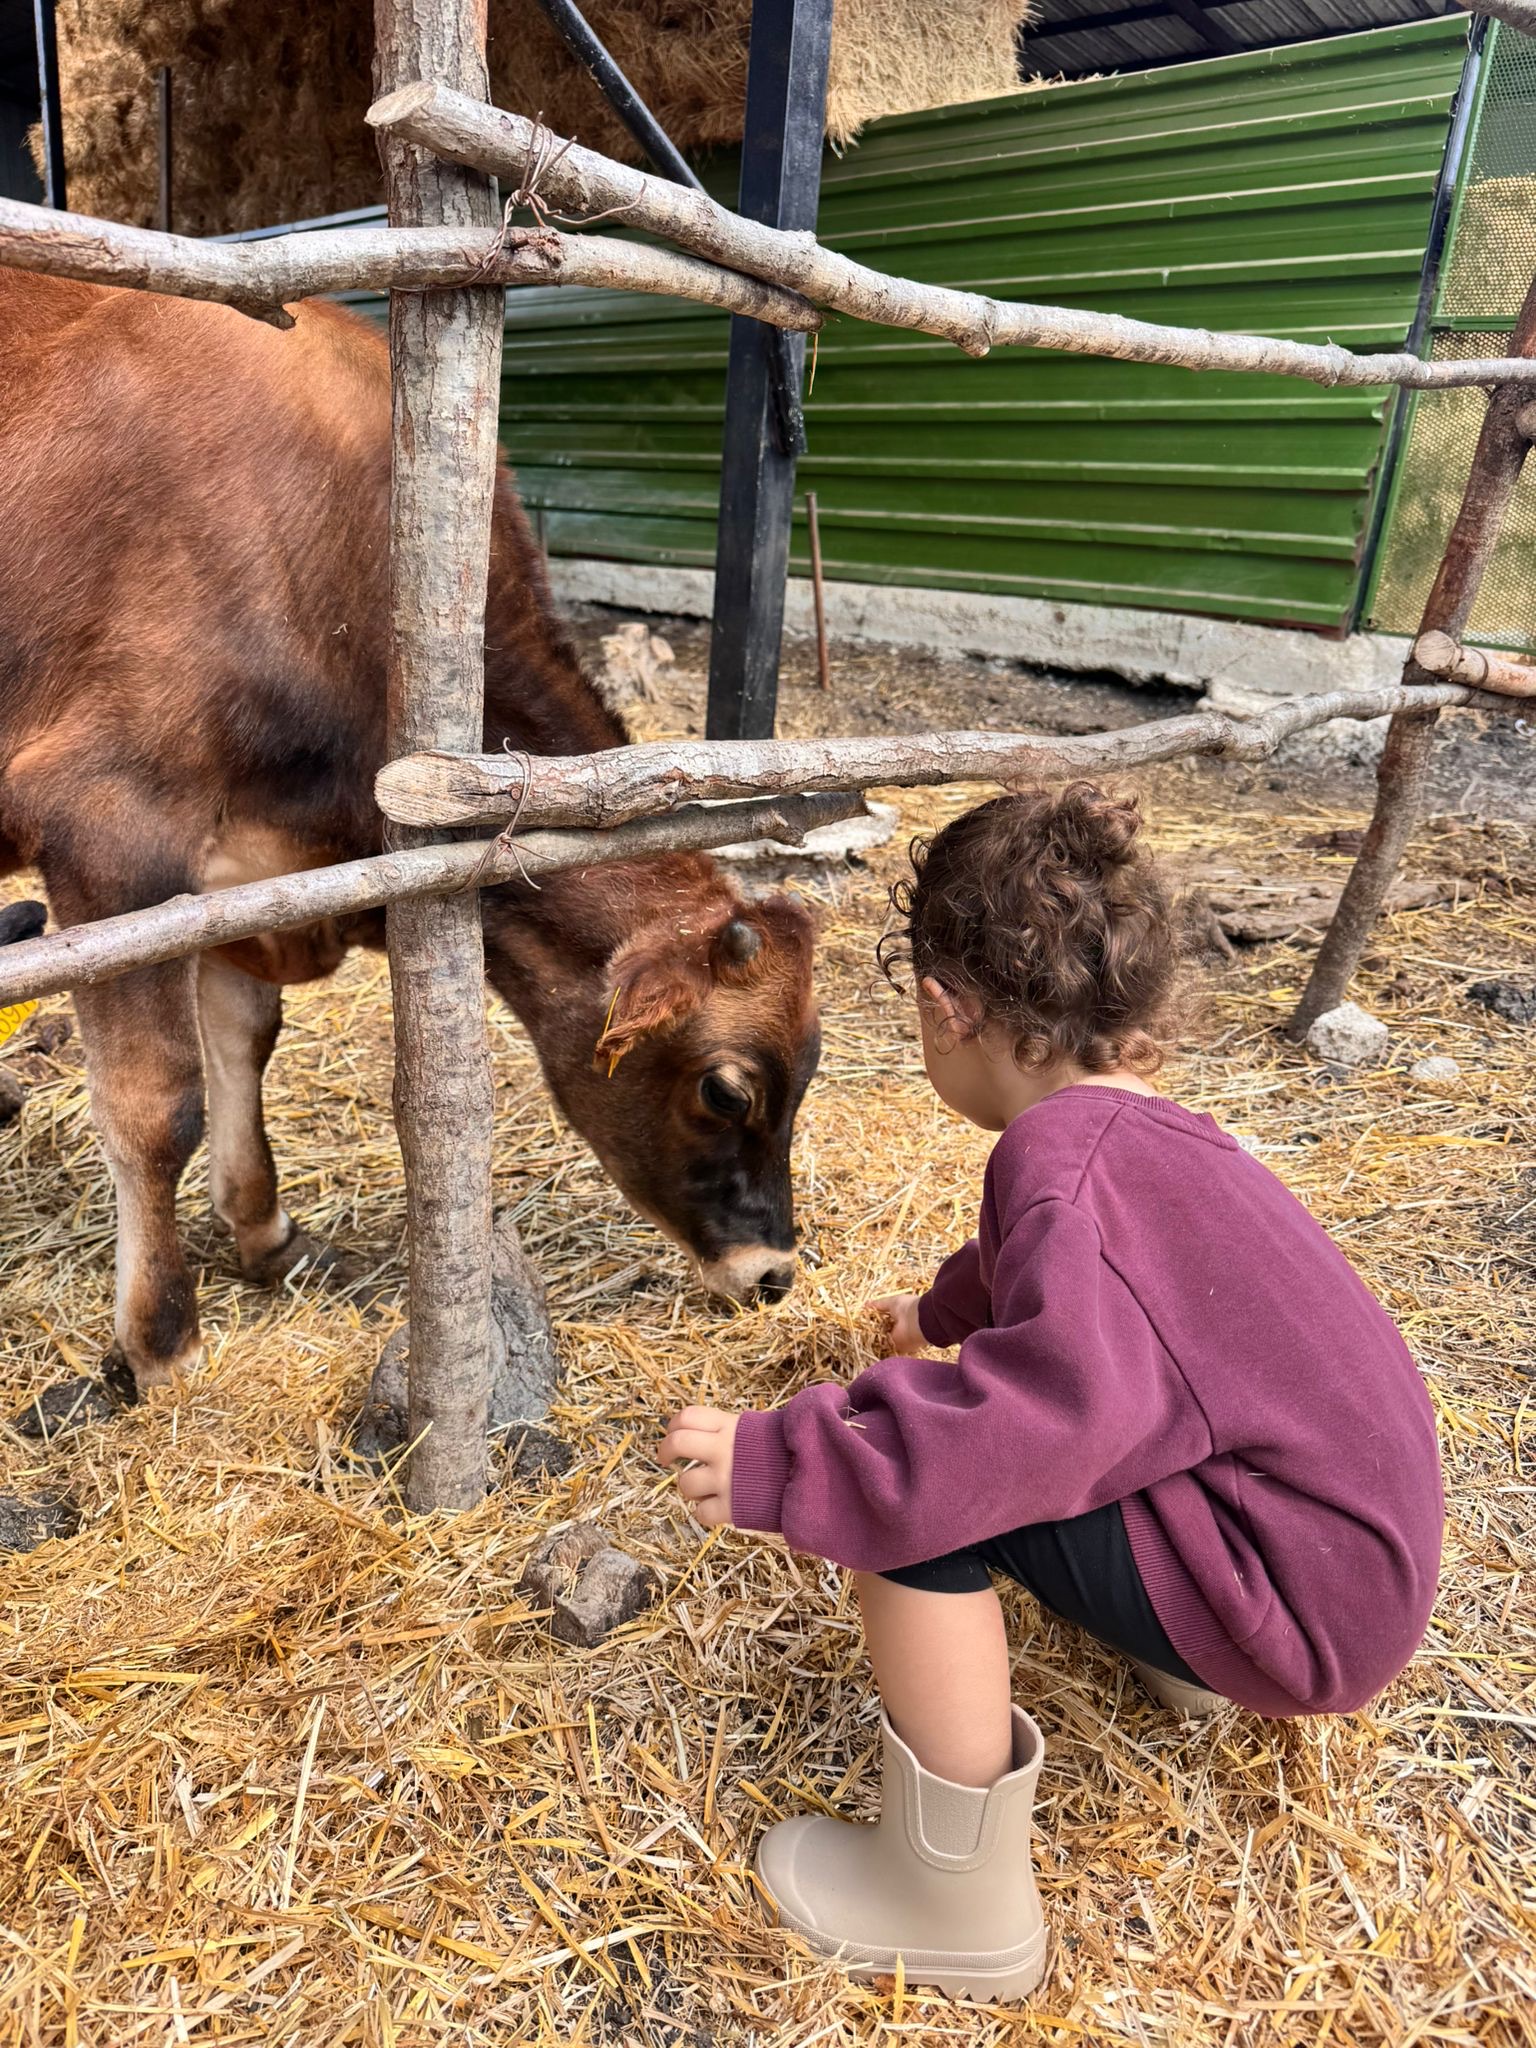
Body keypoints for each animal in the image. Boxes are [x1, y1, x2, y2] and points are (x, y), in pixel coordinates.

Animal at [0, 269, 821, 1397]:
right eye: (727, 1088)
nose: (774, 1271)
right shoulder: (111, 827)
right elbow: (156, 1105)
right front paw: (163, 1338)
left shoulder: (241, 870)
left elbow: (244, 1039)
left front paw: (263, 1227)